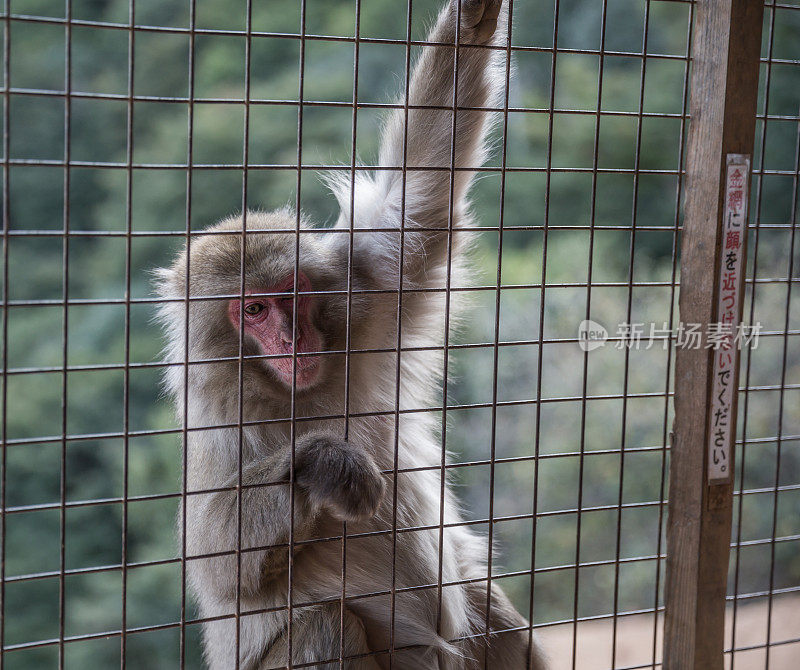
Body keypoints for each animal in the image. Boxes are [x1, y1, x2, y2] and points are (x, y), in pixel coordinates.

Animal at [155, 1, 544, 670]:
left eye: (291, 295)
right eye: (253, 310)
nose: (292, 340)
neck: (291, 392)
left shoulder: (366, 295)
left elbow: (417, 202)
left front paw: (473, 21)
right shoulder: (217, 426)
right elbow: (218, 565)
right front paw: (322, 463)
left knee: (492, 614)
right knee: (326, 627)